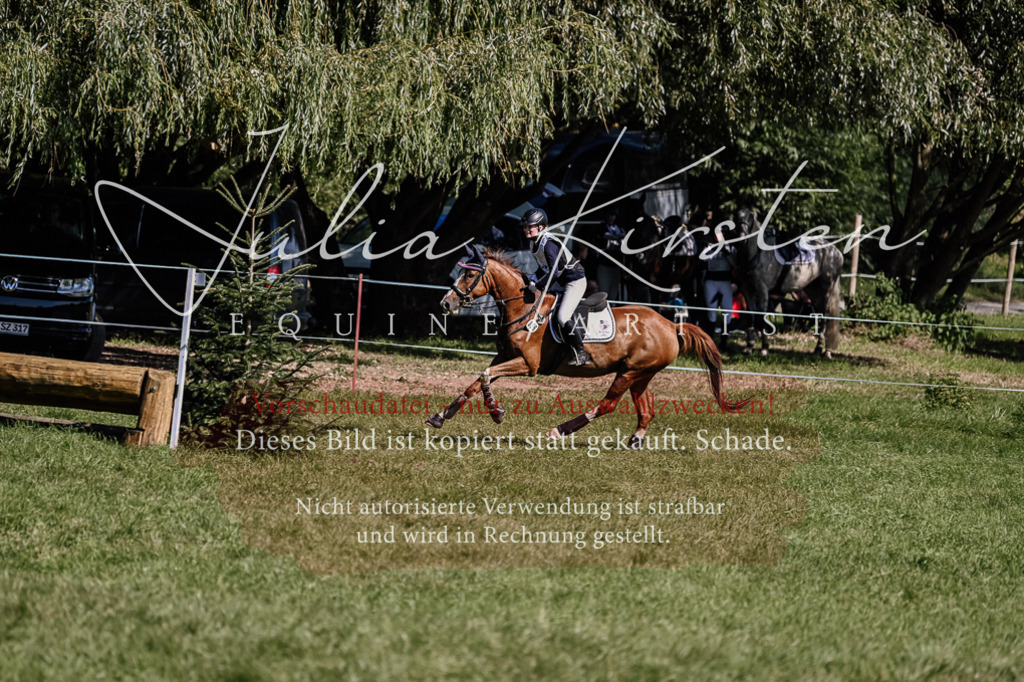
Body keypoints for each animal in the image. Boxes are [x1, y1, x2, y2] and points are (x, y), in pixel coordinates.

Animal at [428, 246, 747, 447]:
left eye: (470, 275)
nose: (445, 303)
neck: (525, 309)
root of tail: (671, 325)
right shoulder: (503, 357)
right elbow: (477, 381)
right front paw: (441, 416)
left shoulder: (527, 365)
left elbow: (483, 376)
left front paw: (496, 412)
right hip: (640, 374)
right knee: (645, 412)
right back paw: (635, 441)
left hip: (629, 373)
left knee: (607, 405)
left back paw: (559, 431)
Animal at [733, 207, 843, 358]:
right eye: (736, 218)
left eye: (750, 219)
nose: (742, 239)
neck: (757, 254)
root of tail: (835, 252)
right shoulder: (747, 290)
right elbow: (751, 316)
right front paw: (749, 347)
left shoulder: (762, 291)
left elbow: (762, 318)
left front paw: (765, 348)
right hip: (813, 291)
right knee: (820, 314)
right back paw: (819, 350)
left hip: (827, 288)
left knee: (826, 315)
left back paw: (822, 349)